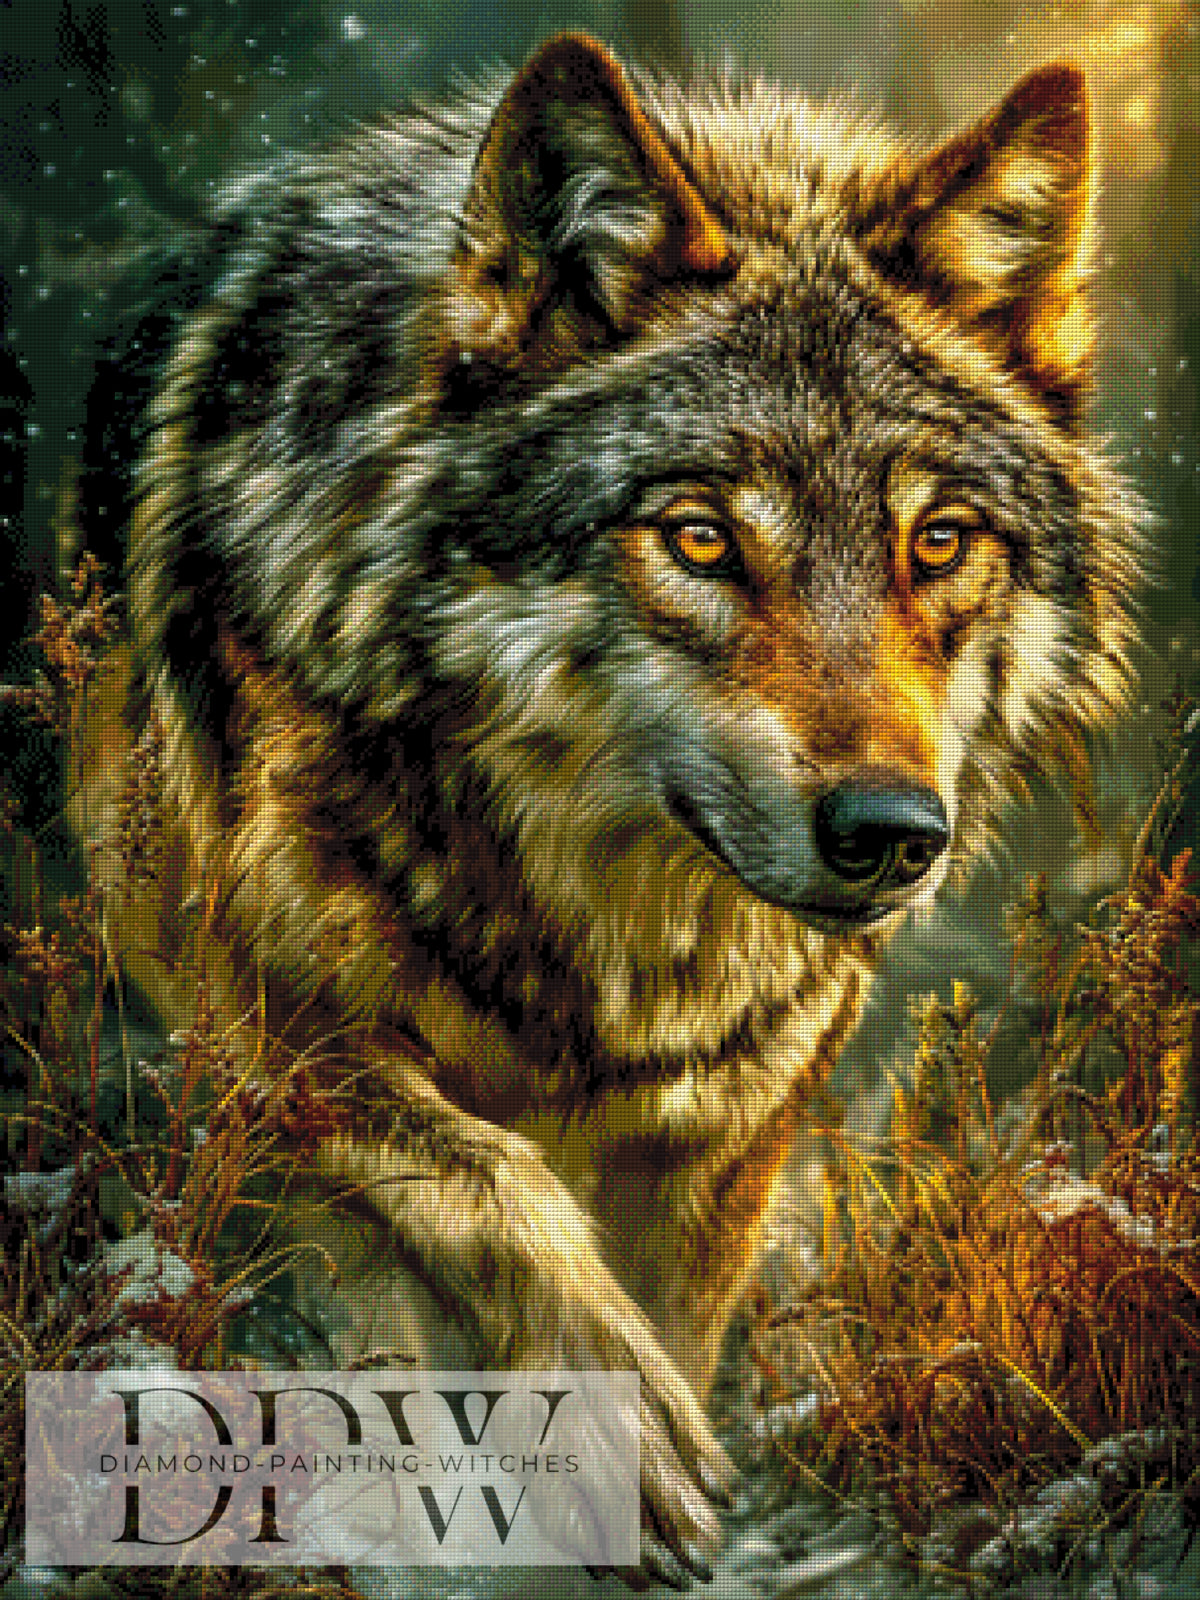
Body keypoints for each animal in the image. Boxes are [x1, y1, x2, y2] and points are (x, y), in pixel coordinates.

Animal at [70, 30, 1145, 1587]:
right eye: (698, 536)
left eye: (939, 541)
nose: (892, 834)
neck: (614, 948)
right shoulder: (240, 999)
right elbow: (485, 1177)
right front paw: (614, 1444)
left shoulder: (740, 1116)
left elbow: (670, 1316)